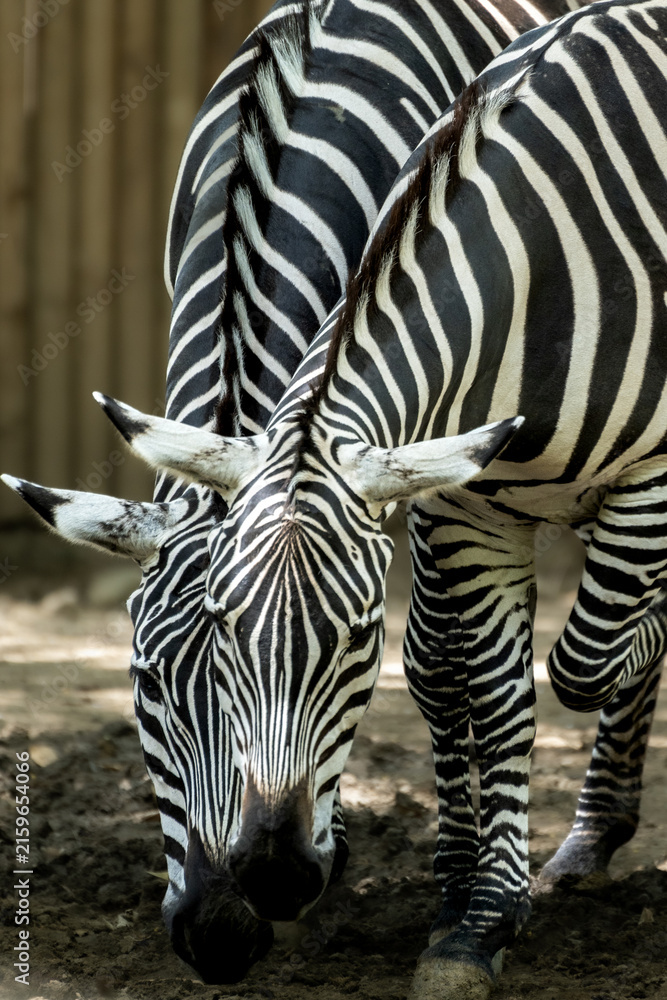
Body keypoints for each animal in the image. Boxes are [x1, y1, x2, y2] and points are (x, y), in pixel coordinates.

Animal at [48, 1, 667, 996]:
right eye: (146, 684)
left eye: (351, 645)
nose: (223, 935)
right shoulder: (448, 485)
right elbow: (466, 678)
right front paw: (460, 897)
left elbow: (514, 665)